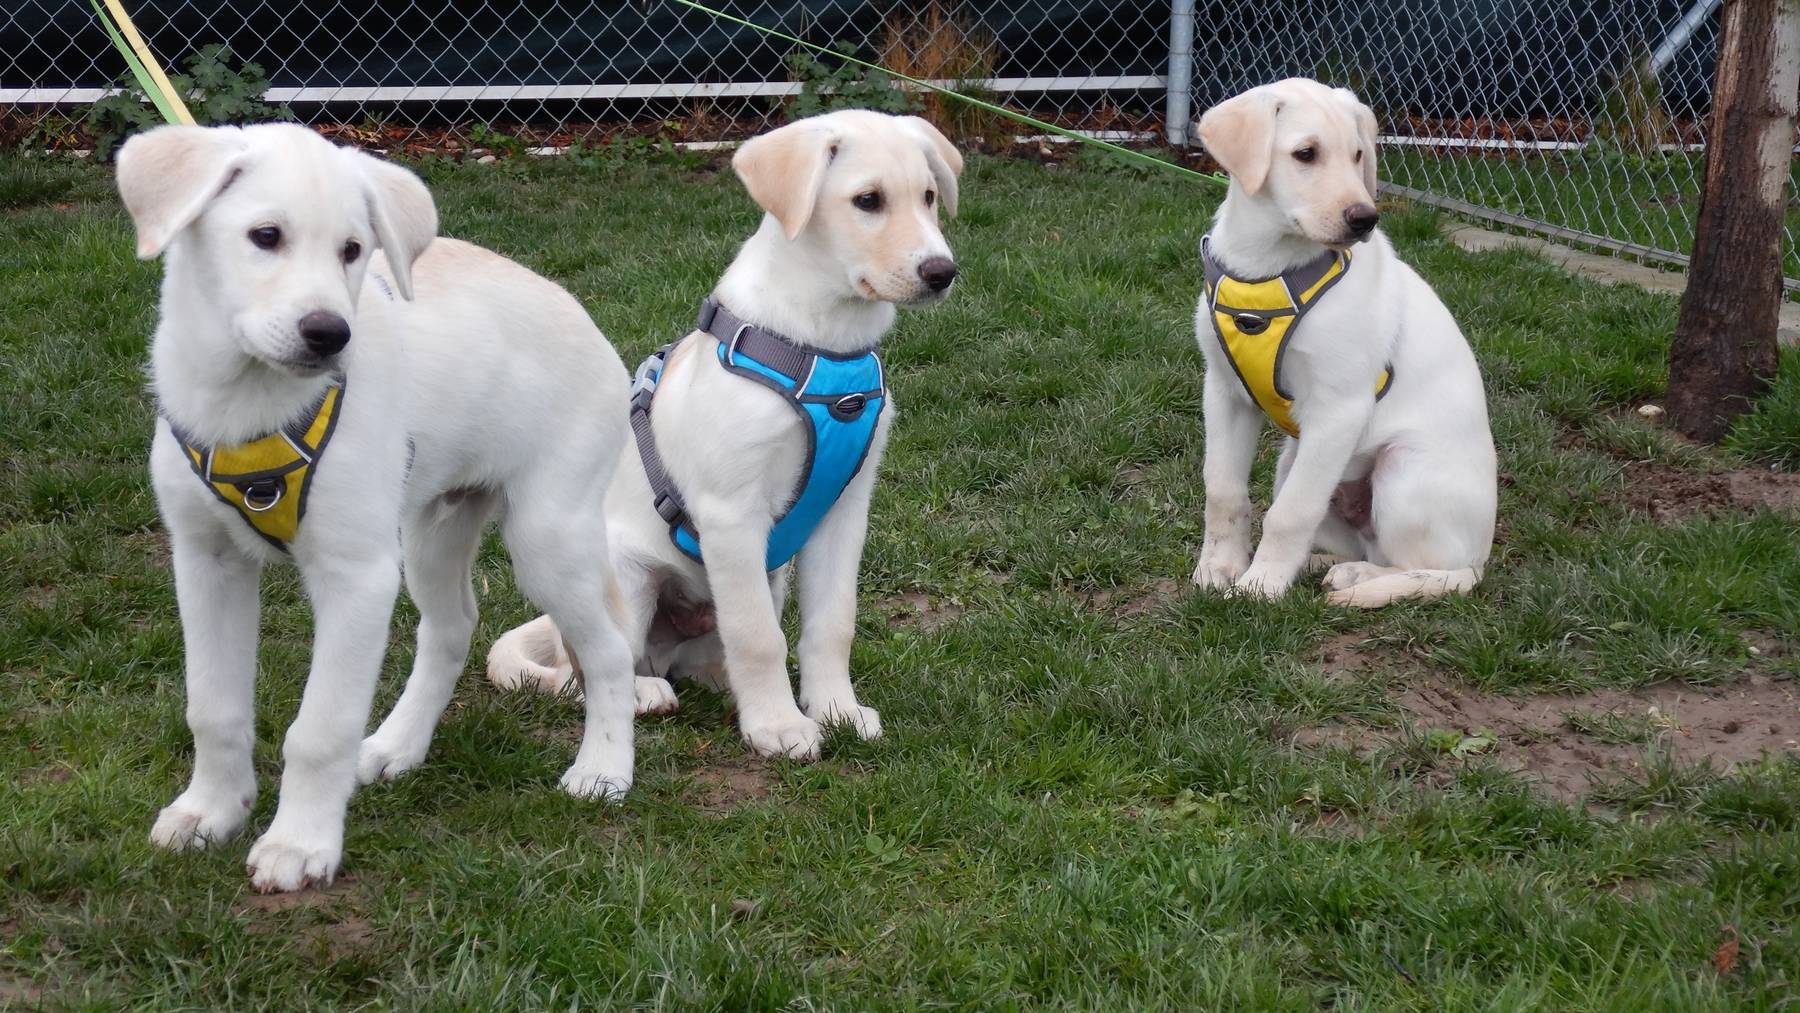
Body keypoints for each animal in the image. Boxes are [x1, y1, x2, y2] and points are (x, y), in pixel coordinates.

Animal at [117, 123, 640, 892]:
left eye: (352, 250)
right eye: (265, 236)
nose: (330, 334)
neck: (248, 402)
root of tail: (582, 316)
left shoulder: (356, 574)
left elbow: (318, 729)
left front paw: (299, 843)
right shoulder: (206, 560)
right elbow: (212, 705)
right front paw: (211, 810)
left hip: (549, 536)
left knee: (608, 653)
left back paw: (603, 770)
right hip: (434, 528)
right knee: (452, 628)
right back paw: (397, 745)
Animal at [1188, 79, 1497, 611]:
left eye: (1358, 155)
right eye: (1305, 154)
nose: (1365, 219)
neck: (1269, 270)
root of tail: (1480, 560)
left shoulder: (1338, 410)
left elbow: (1290, 514)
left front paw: (1261, 586)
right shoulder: (1226, 392)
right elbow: (1224, 491)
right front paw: (1220, 568)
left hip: (1400, 470)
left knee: (1422, 569)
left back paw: (1355, 580)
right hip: (1293, 460)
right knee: (1365, 547)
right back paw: (1325, 566)